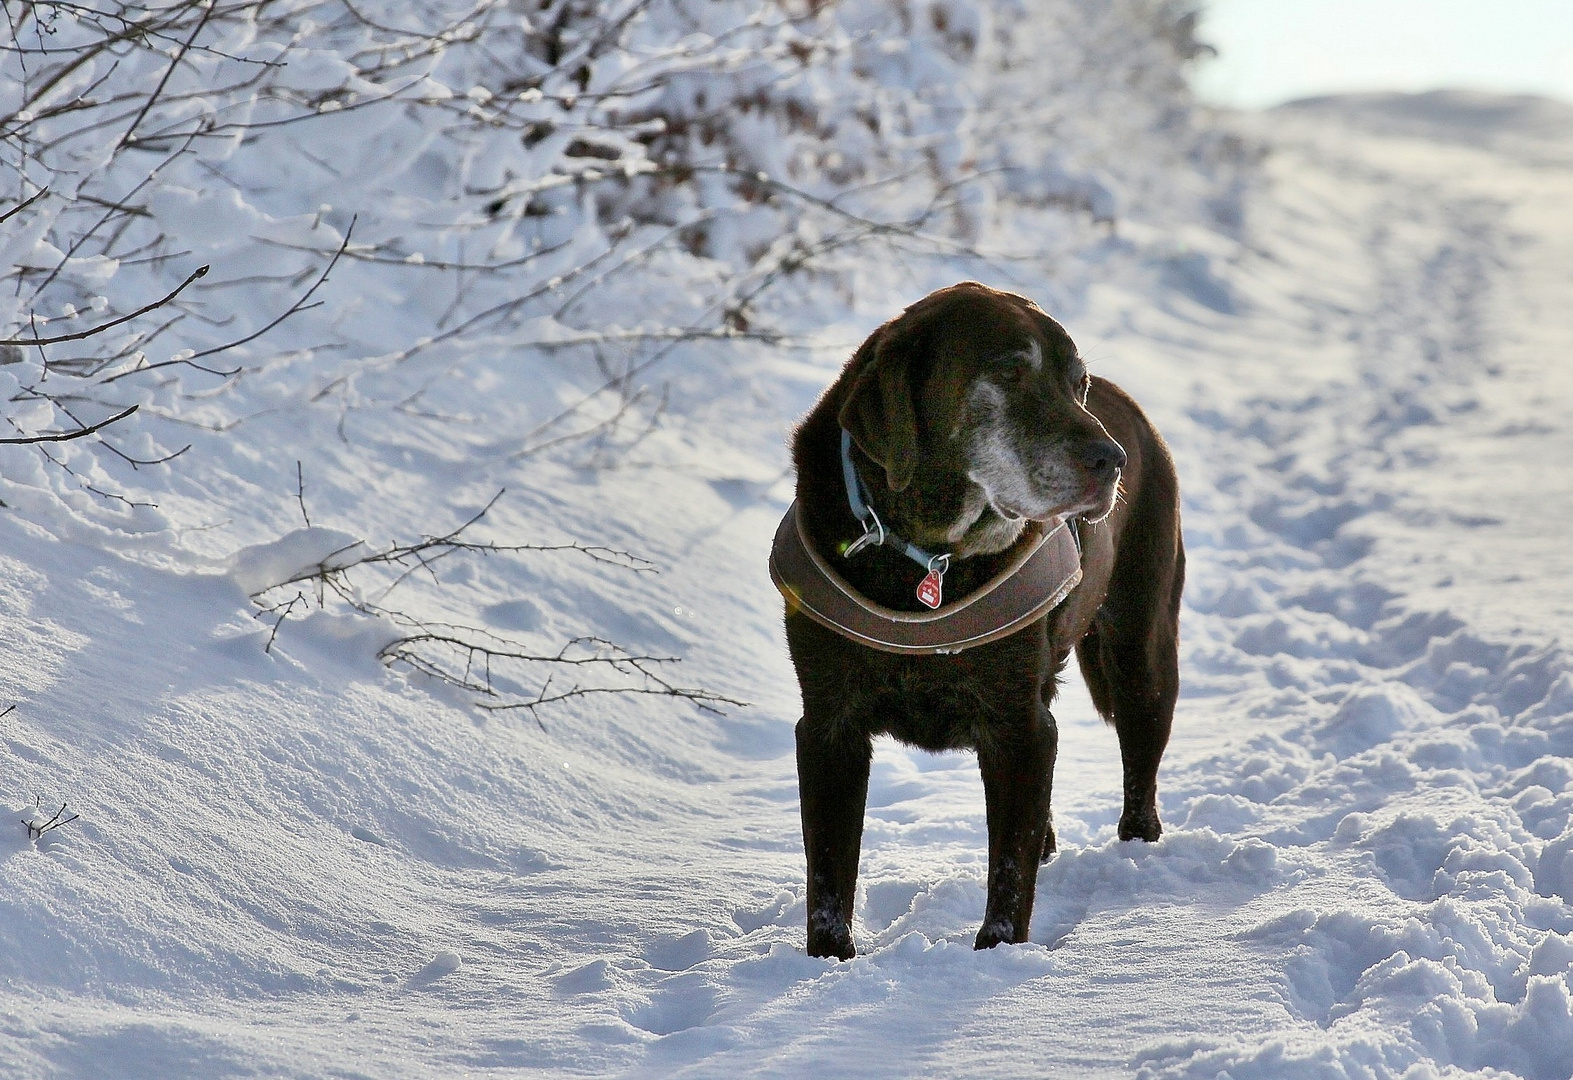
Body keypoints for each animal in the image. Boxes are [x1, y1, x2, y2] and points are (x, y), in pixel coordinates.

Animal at [780, 282, 1182, 962]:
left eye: (1076, 382)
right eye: (1011, 373)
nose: (1113, 460)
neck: (926, 550)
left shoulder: (1016, 727)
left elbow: (1009, 872)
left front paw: (997, 956)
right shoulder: (829, 724)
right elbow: (829, 870)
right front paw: (827, 961)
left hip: (1141, 648)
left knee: (1140, 759)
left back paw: (1137, 848)